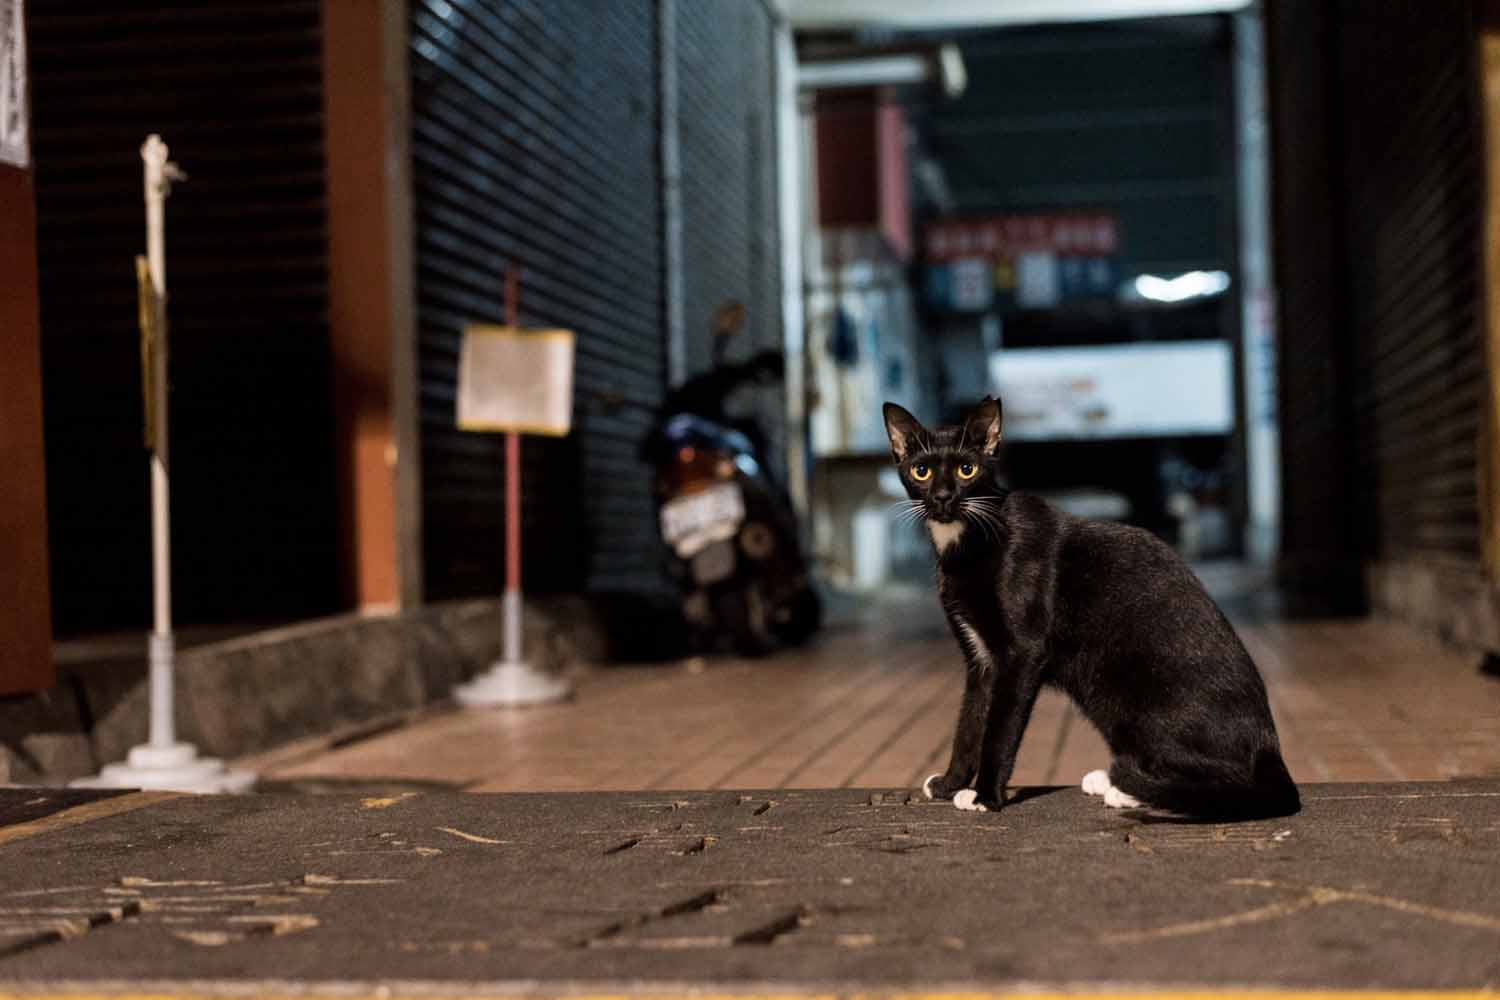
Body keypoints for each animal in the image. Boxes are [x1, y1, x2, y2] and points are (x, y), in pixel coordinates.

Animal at [882, 395, 1296, 815]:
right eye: (920, 471)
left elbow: (999, 728)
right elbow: (970, 723)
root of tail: (1269, 749)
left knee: (1227, 783)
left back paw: (1130, 788)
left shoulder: (1021, 655)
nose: (943, 497)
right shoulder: (980, 659)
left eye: (967, 470)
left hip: (1122, 689)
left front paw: (986, 796)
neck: (966, 541)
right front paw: (951, 783)